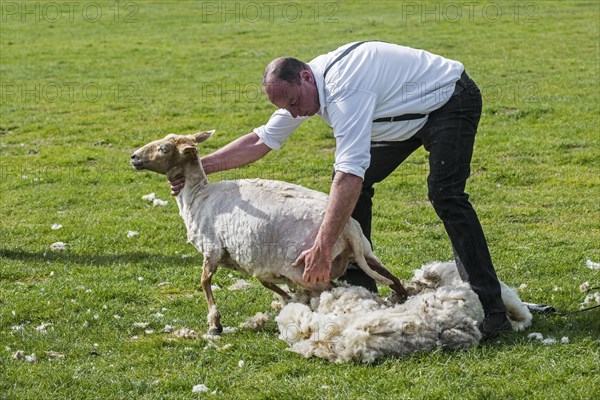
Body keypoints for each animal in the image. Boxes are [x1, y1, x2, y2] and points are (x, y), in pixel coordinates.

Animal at [128, 130, 406, 334]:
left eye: (164, 148)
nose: (133, 157)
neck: (196, 196)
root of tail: (350, 230)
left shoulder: (212, 248)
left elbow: (204, 281)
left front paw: (215, 323)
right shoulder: (258, 261)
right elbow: (265, 282)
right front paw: (288, 299)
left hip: (308, 270)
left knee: (335, 289)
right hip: (367, 253)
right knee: (393, 279)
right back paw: (401, 300)